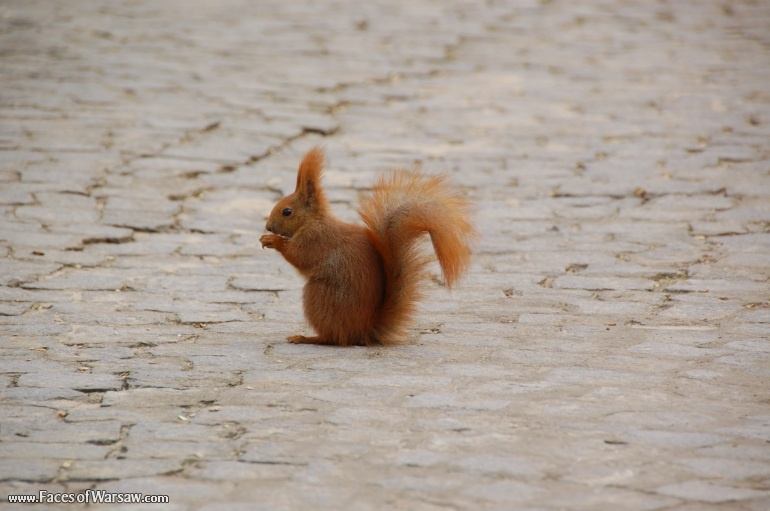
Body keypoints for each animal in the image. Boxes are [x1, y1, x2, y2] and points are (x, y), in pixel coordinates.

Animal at [259, 147, 477, 346]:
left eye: (287, 211)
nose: (268, 226)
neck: (312, 221)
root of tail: (364, 331)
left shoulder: (315, 239)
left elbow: (298, 256)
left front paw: (272, 241)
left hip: (318, 296)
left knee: (333, 338)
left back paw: (306, 338)